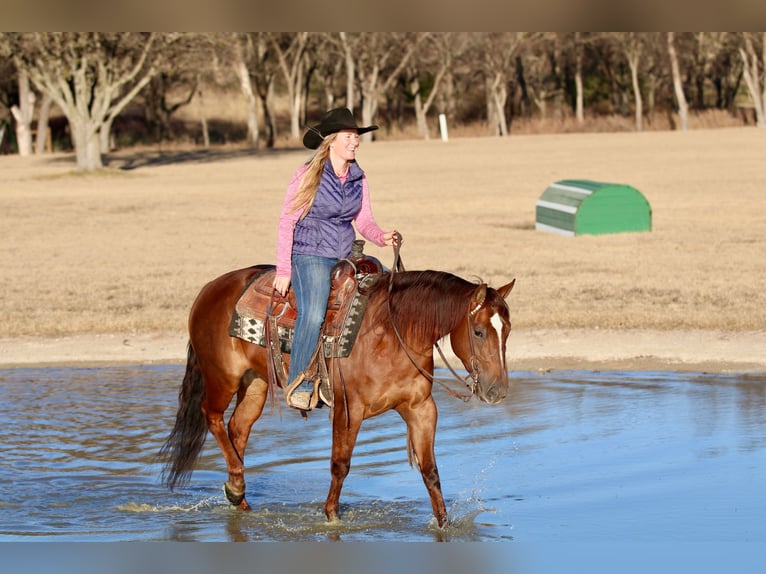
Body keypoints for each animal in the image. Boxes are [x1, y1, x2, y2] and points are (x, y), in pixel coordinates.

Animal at [159, 260, 515, 528]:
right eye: (479, 331)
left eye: (507, 331)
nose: (497, 390)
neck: (393, 332)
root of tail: (210, 289)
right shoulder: (348, 409)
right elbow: (340, 464)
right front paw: (331, 516)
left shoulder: (421, 408)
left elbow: (430, 471)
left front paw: (444, 524)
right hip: (222, 378)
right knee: (213, 417)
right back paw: (235, 487)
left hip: (255, 383)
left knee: (238, 430)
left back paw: (240, 497)